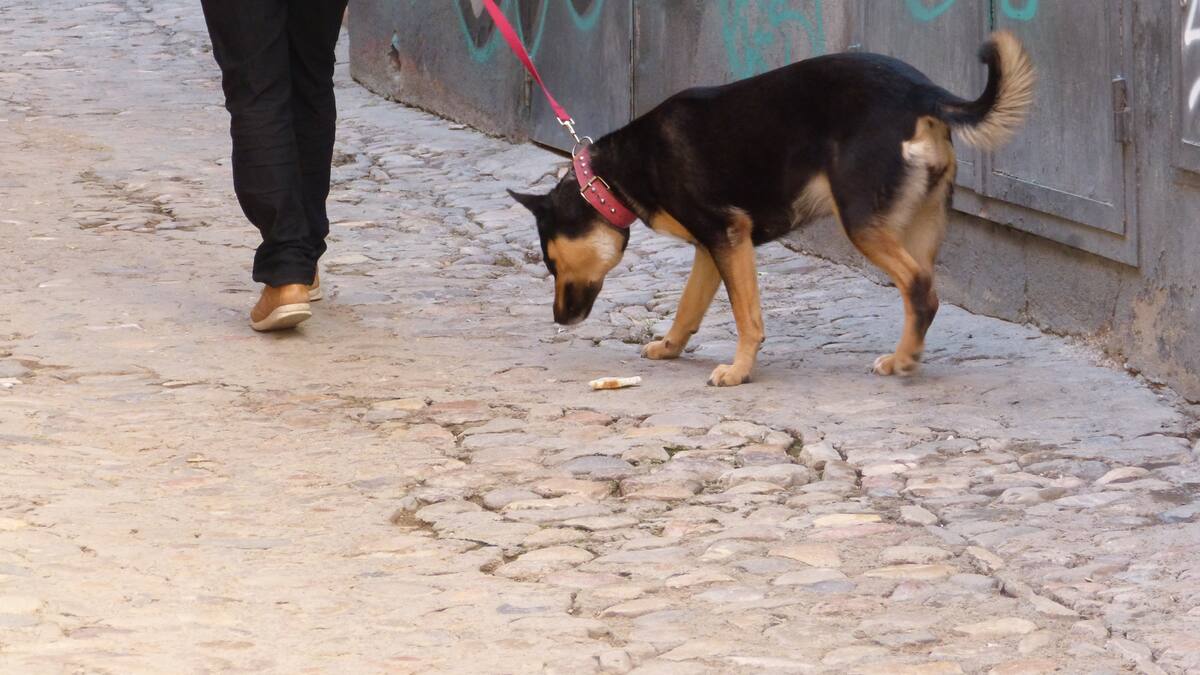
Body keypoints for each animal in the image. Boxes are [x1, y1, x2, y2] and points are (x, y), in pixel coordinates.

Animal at [510, 32, 1034, 387]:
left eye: (551, 263)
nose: (558, 320)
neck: (610, 177)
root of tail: (922, 93)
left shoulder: (728, 236)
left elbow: (748, 317)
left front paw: (740, 370)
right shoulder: (711, 248)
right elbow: (688, 307)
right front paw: (671, 347)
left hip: (862, 223)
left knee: (920, 287)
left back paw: (904, 359)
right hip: (922, 221)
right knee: (921, 293)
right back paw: (906, 355)